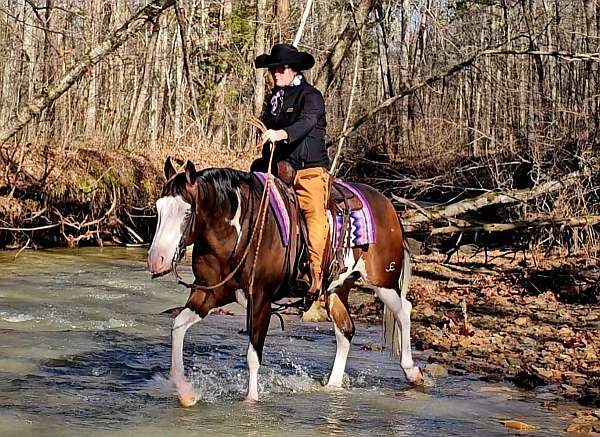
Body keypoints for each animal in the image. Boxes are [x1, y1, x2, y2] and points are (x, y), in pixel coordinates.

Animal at [148, 158, 424, 408]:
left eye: (186, 212)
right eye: (159, 208)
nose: (156, 260)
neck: (241, 233)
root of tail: (387, 204)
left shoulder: (261, 299)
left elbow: (253, 354)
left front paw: (251, 401)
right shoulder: (208, 293)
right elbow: (178, 327)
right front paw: (186, 392)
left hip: (384, 282)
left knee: (404, 311)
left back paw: (412, 372)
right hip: (336, 289)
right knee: (345, 330)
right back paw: (332, 386)